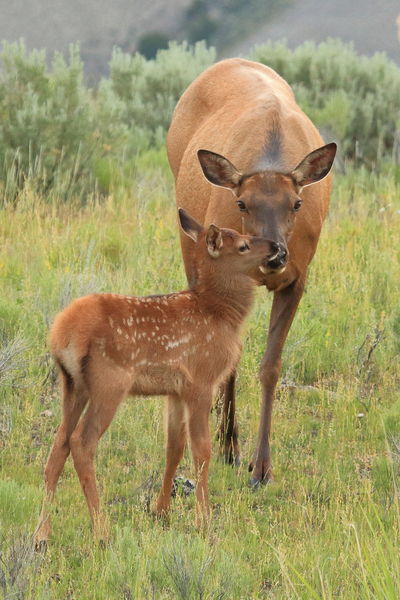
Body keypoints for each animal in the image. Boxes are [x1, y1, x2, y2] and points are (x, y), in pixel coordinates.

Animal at [34, 209, 278, 548]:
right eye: (243, 245)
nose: (275, 246)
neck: (220, 313)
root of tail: (62, 334)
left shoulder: (174, 390)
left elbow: (174, 447)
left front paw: (161, 512)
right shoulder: (201, 381)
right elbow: (202, 449)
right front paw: (203, 520)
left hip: (72, 386)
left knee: (58, 446)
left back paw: (41, 534)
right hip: (109, 383)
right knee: (81, 442)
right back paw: (101, 530)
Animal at [166, 57, 338, 488]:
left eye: (297, 203)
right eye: (241, 203)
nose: (274, 255)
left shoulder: (298, 277)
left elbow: (270, 367)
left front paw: (262, 468)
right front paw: (230, 448)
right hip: (188, 243)